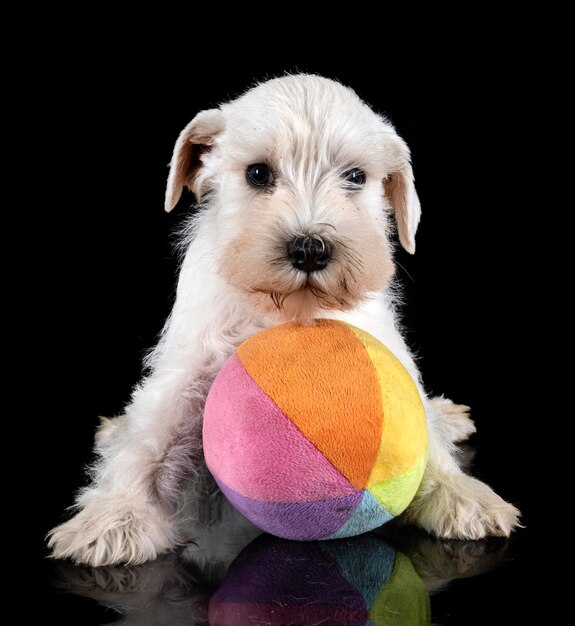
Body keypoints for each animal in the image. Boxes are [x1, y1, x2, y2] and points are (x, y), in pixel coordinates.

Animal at [47, 74, 520, 564]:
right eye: (258, 173)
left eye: (355, 177)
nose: (310, 249)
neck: (286, 311)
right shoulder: (187, 369)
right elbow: (147, 442)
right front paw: (116, 515)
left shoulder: (390, 356)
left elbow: (426, 433)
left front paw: (460, 493)